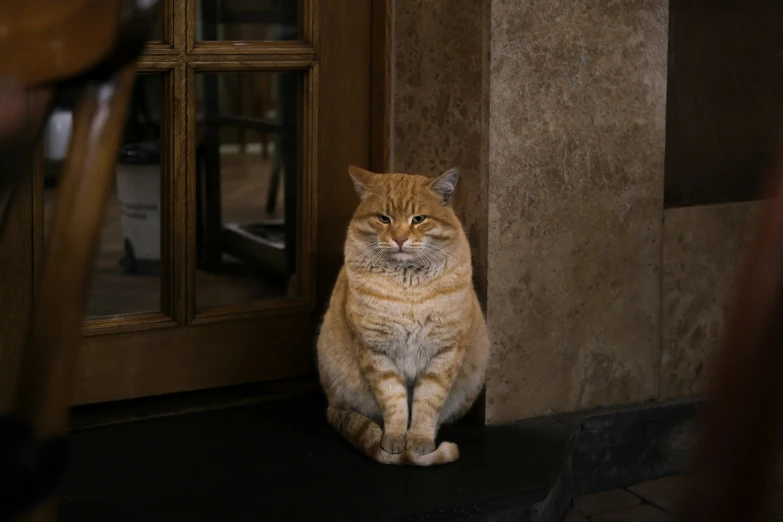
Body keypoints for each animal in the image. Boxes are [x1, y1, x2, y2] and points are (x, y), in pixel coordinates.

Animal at [316, 165, 486, 466]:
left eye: (418, 219)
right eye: (384, 218)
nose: (399, 238)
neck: (408, 287)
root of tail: (331, 405)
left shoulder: (445, 351)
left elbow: (428, 402)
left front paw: (419, 441)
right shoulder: (375, 350)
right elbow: (393, 401)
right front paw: (394, 440)